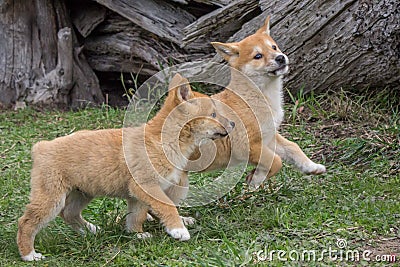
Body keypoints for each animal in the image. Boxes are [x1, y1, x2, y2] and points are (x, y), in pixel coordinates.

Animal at [16, 73, 234, 262]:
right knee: (26, 222)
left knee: (68, 213)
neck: (164, 141)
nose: (232, 123)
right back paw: (29, 255)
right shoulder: (146, 186)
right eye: (214, 114)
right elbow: (167, 206)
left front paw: (136, 234)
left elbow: (136, 216)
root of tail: (41, 146)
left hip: (82, 193)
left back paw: (90, 230)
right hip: (51, 199)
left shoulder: (137, 194)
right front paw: (177, 230)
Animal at [192, 16, 326, 188]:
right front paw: (257, 178)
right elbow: (276, 161)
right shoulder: (246, 145)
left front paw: (312, 167)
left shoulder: (269, 137)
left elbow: (292, 147)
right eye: (258, 56)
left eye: (274, 47)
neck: (258, 96)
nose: (280, 57)